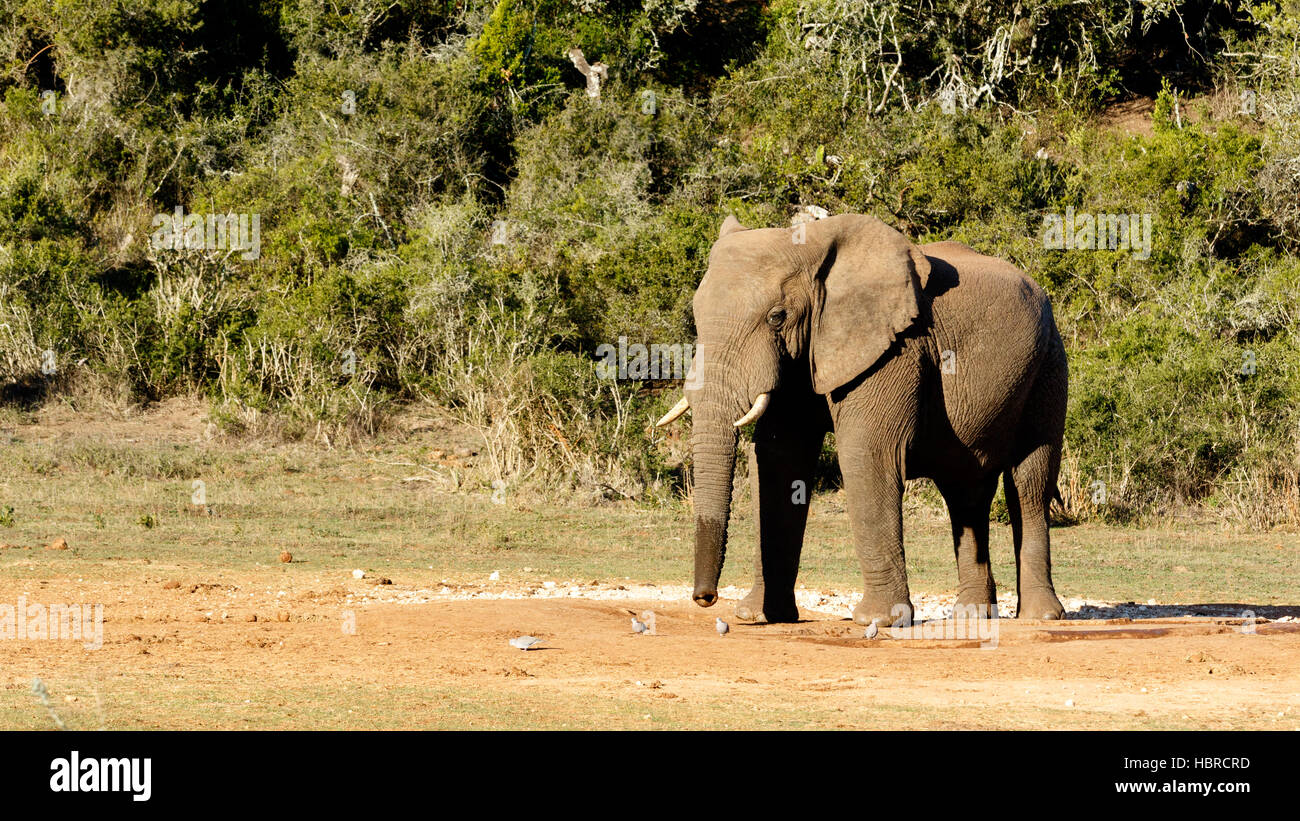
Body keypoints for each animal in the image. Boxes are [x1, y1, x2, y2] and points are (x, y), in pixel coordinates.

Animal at [655, 213, 1068, 626]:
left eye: (776, 318)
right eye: (696, 317)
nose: (705, 598)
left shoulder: (895, 349)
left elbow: (865, 455)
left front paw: (877, 621)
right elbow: (779, 460)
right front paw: (759, 617)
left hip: (1049, 363)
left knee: (1029, 483)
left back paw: (1040, 616)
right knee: (965, 493)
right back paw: (972, 617)